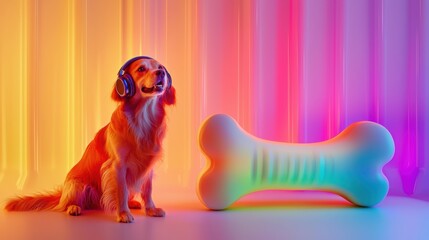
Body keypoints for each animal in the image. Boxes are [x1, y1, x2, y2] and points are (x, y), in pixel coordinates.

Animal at [5, 55, 176, 222]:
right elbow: (121, 191)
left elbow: (148, 191)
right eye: (141, 69)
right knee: (68, 204)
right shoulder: (117, 165)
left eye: (160, 67)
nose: (161, 73)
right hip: (77, 185)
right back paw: (73, 208)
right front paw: (123, 213)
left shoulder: (148, 166)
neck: (143, 118)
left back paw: (131, 203)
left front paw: (151, 209)